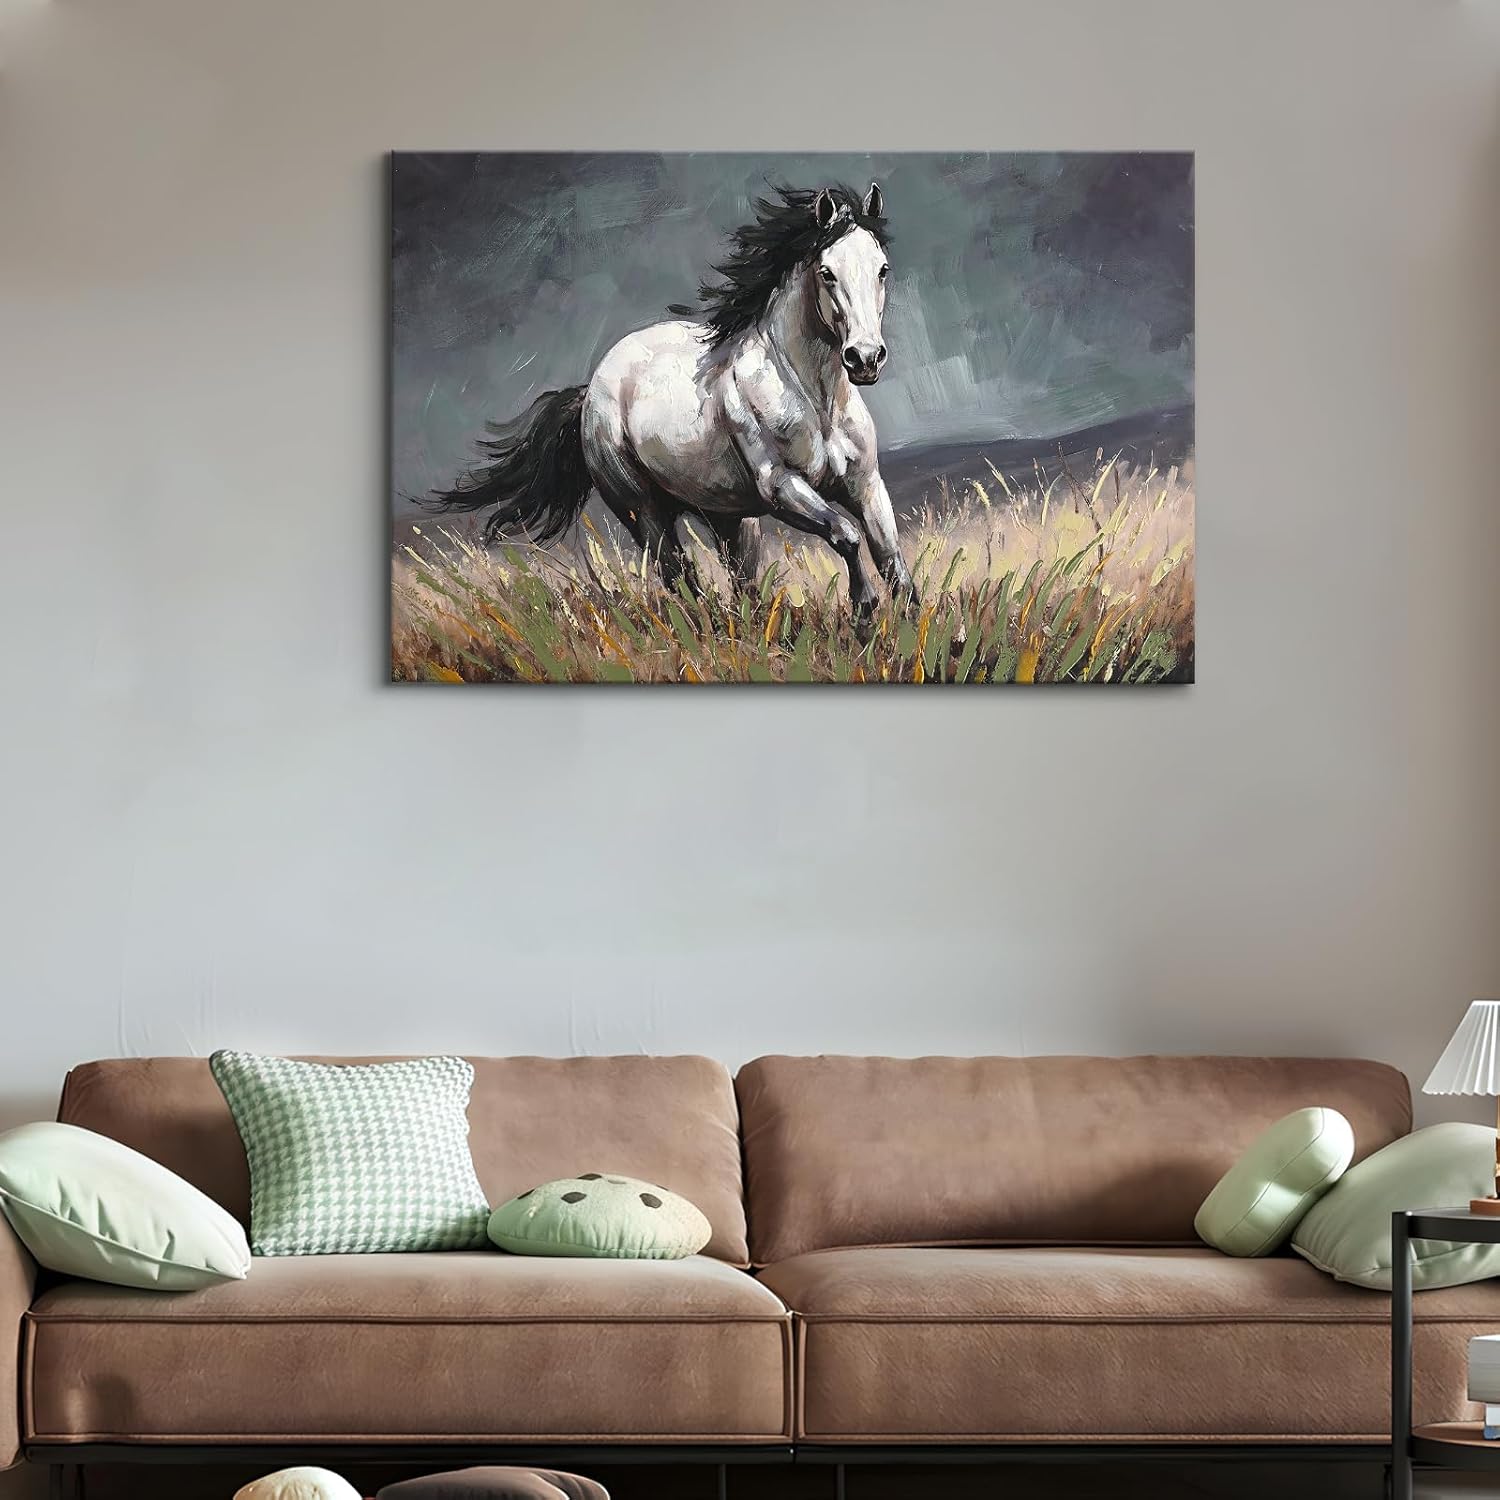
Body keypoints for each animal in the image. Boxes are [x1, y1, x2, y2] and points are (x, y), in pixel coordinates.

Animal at [420, 182, 917, 617]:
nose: (865, 358)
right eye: (827, 273)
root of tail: (591, 390)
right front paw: (864, 607)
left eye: (882, 268)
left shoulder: (865, 484)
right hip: (644, 511)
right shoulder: (782, 488)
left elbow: (892, 562)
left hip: (729, 516)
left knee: (742, 581)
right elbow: (846, 535)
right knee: (679, 576)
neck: (816, 403)